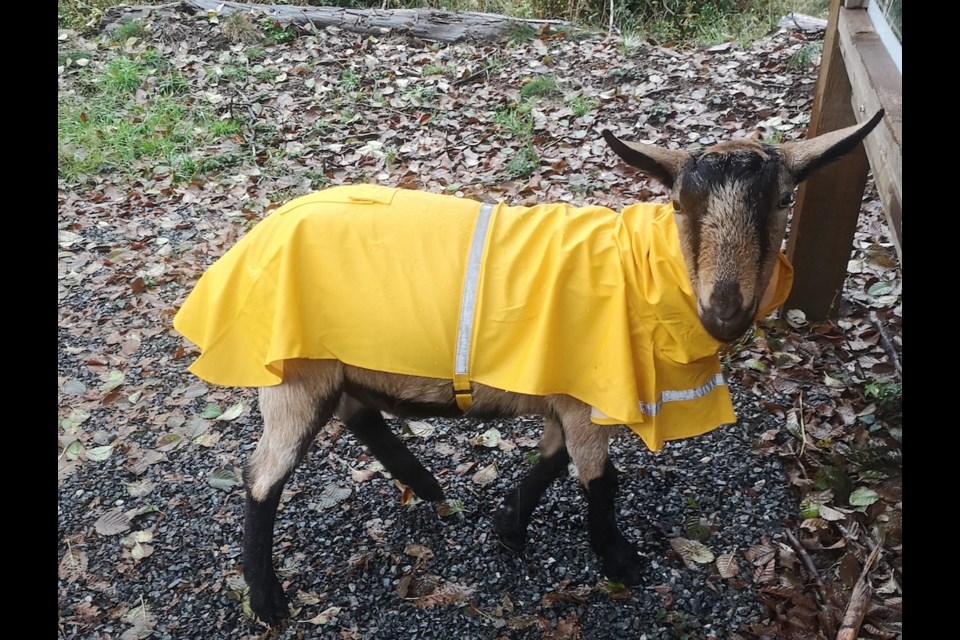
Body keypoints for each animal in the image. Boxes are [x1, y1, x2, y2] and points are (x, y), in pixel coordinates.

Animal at [174, 107, 884, 624]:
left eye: (785, 200)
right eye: (681, 204)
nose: (725, 313)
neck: (641, 274)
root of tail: (252, 238)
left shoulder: (567, 392)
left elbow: (551, 461)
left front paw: (508, 528)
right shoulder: (589, 395)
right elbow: (600, 481)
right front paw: (619, 561)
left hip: (335, 365)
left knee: (357, 415)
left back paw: (427, 485)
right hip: (297, 371)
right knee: (263, 475)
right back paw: (268, 601)